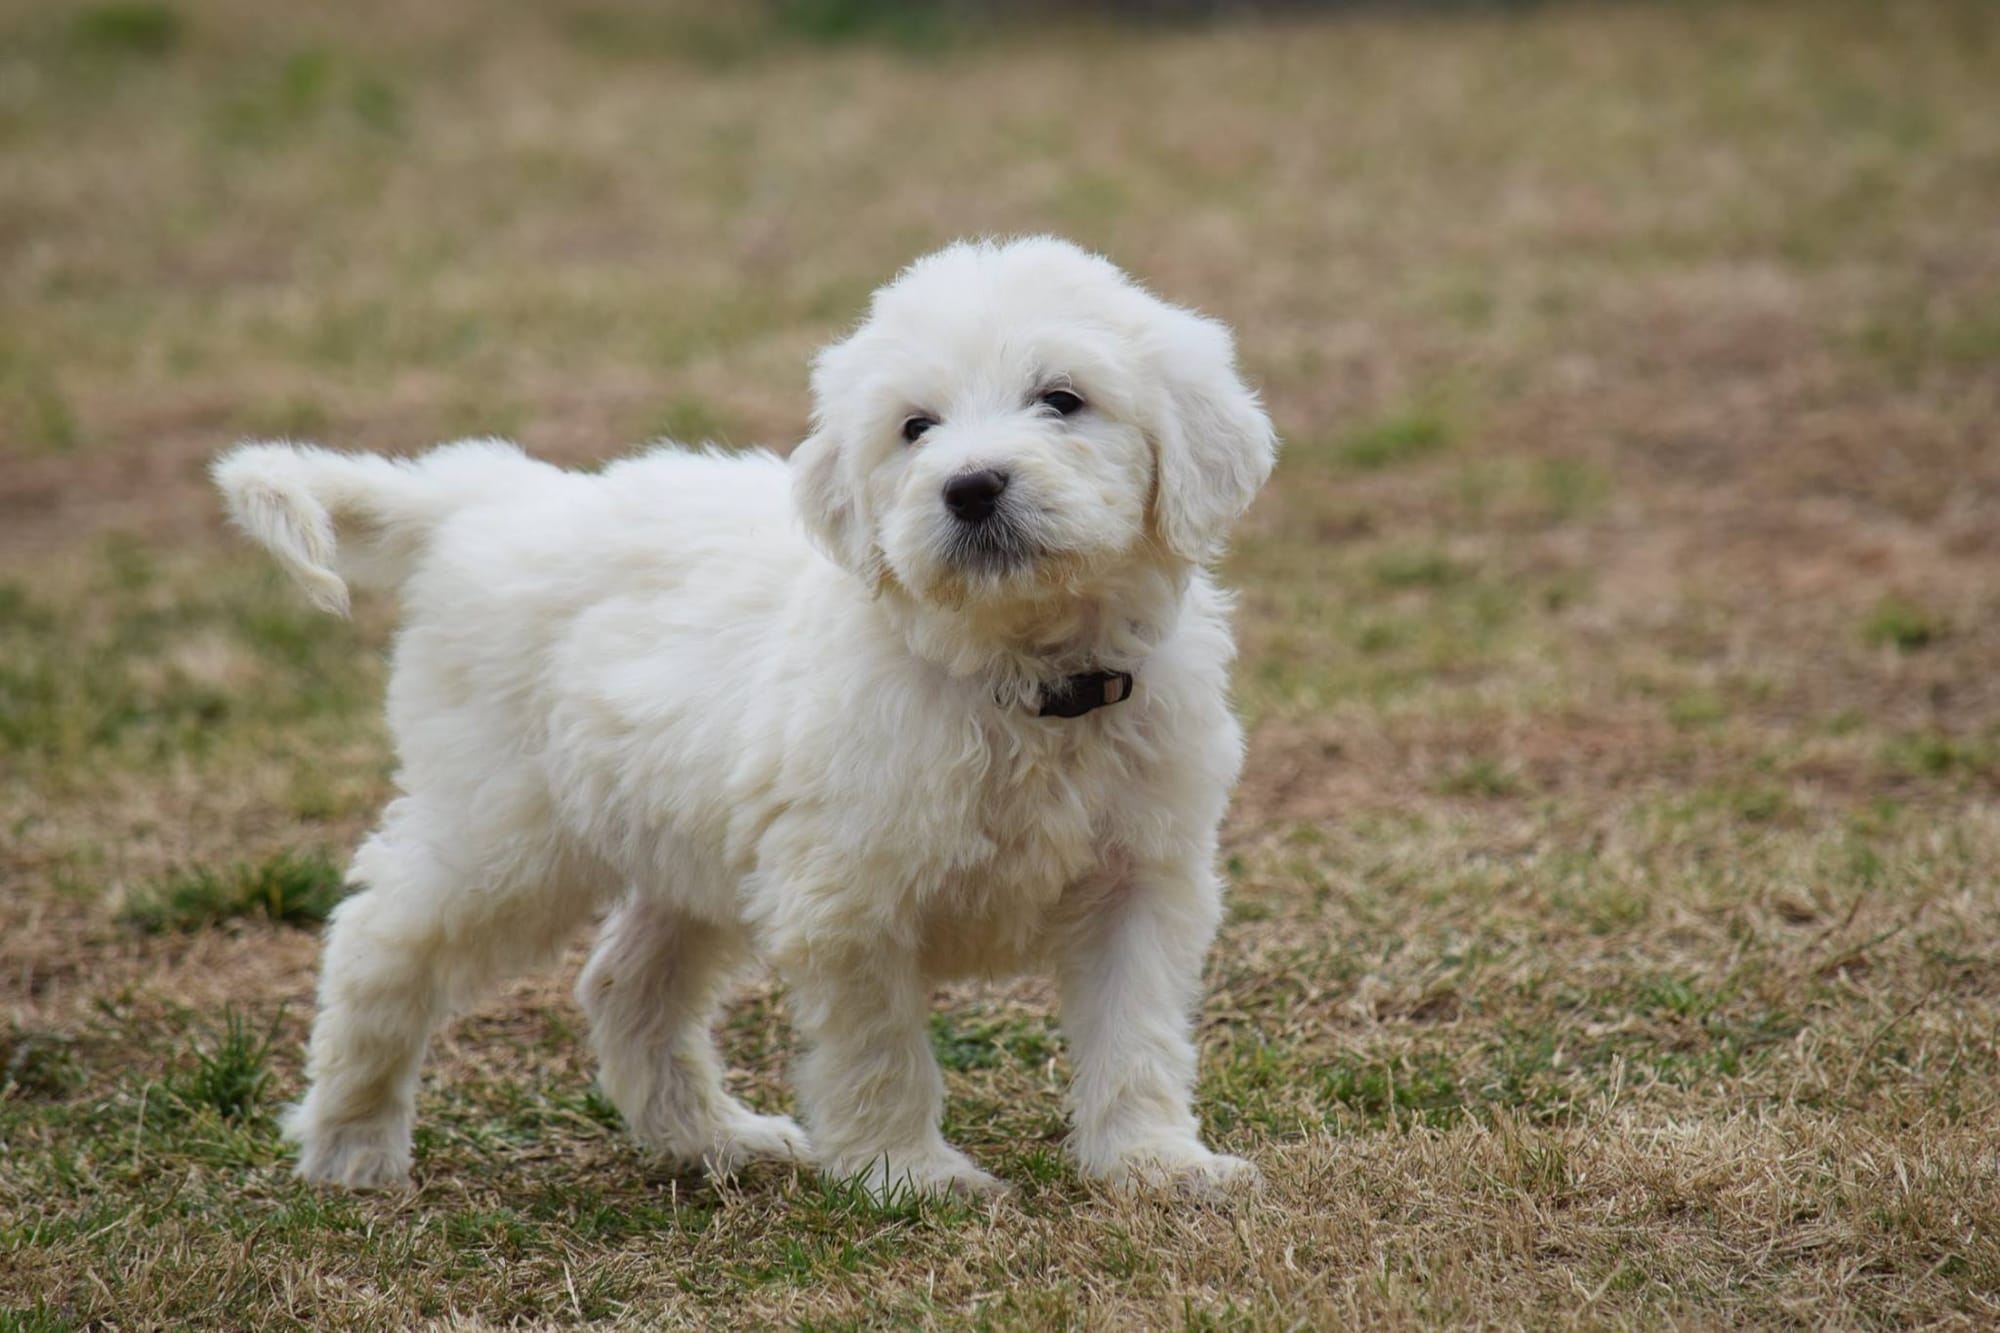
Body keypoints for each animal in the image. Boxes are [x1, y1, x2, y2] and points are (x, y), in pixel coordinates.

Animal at [215, 236, 1280, 1192]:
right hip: (498, 829)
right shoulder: (846, 902)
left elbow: (1136, 1036)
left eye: (1062, 399)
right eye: (916, 427)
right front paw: (908, 1173)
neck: (1015, 674)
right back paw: (350, 1147)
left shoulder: (1143, 881)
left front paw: (1153, 1162)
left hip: (680, 846)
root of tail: (487, 499)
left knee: (626, 986)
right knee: (379, 941)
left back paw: (713, 1141)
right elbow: (881, 1052)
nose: (972, 486)